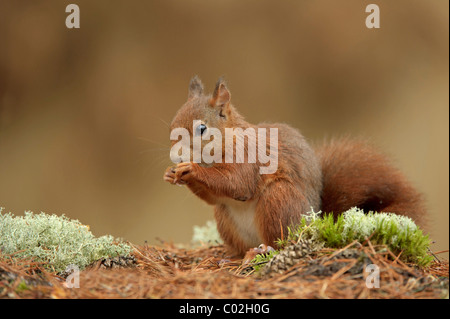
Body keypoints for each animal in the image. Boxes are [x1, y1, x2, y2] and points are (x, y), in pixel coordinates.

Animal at [163, 77, 428, 258]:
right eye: (172, 125)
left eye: (202, 129)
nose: (176, 156)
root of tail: (314, 221)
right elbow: (214, 196)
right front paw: (172, 173)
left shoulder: (250, 158)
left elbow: (237, 183)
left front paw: (192, 170)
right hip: (225, 217)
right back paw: (233, 257)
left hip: (279, 200)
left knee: (281, 241)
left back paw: (263, 250)